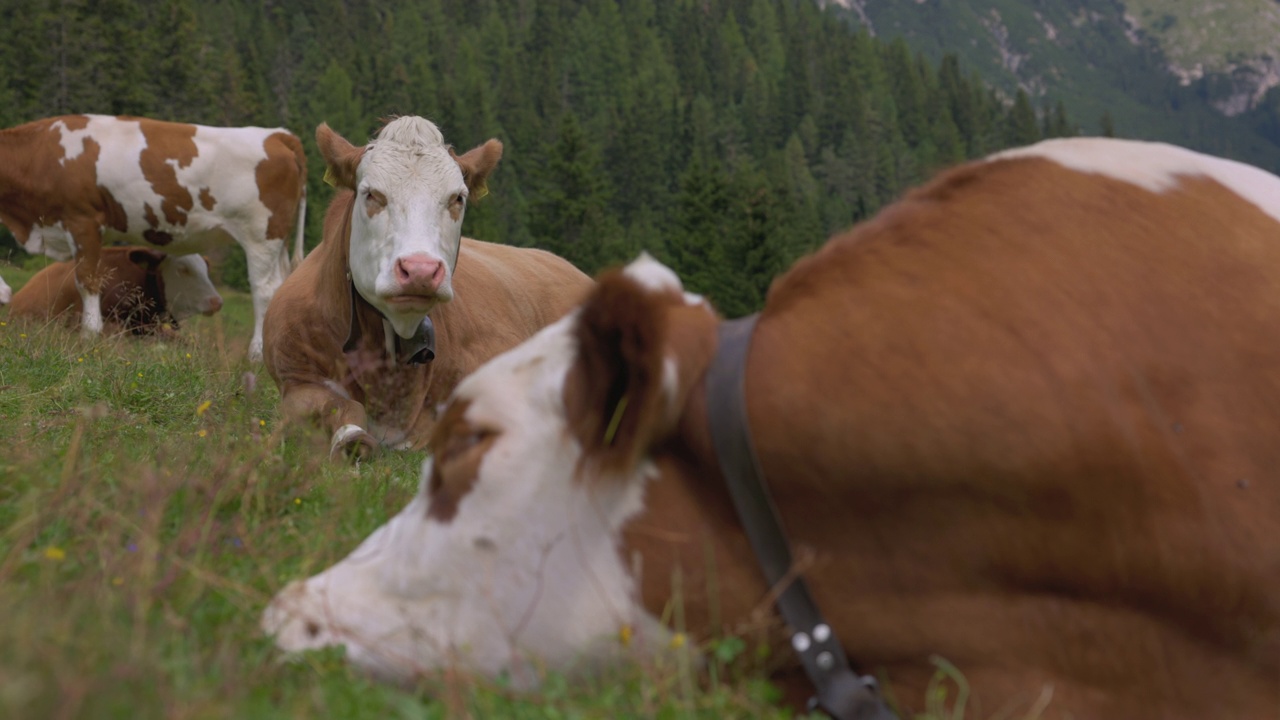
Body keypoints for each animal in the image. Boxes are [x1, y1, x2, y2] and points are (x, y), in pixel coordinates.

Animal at [267, 114, 596, 456]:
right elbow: (340, 406)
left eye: (457, 198)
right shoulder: (297, 380)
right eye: (371, 194)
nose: (420, 270)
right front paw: (352, 437)